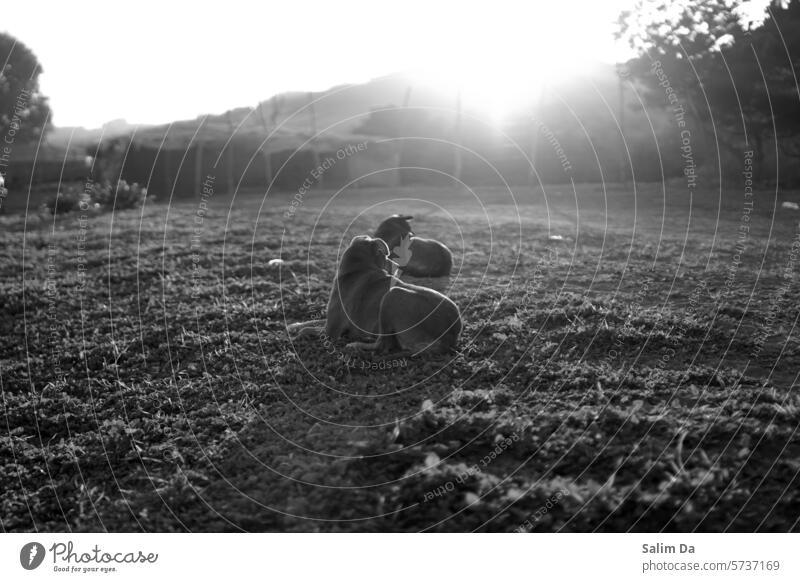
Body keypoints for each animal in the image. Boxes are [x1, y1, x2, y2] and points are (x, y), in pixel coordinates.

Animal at [290, 236, 460, 356]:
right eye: (385, 256)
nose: (398, 266)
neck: (357, 269)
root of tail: (449, 336)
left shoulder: (331, 330)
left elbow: (309, 329)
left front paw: (297, 335)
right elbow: (311, 322)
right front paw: (294, 325)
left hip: (392, 296)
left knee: (383, 345)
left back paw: (356, 345)